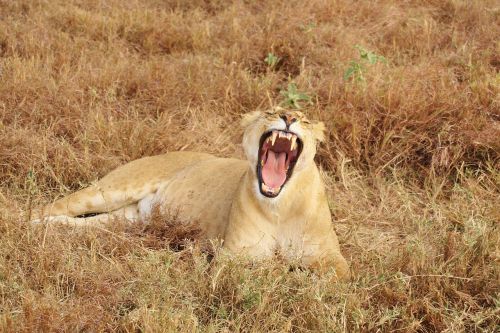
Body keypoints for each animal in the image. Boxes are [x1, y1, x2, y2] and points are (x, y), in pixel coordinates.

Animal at [33, 107, 350, 278]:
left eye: (304, 119)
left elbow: (333, 274)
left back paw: (50, 229)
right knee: (49, 207)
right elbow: (267, 267)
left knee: (83, 225)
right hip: (110, 189)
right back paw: (29, 227)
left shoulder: (333, 258)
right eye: (271, 111)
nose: (288, 117)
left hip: (126, 221)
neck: (279, 205)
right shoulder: (232, 257)